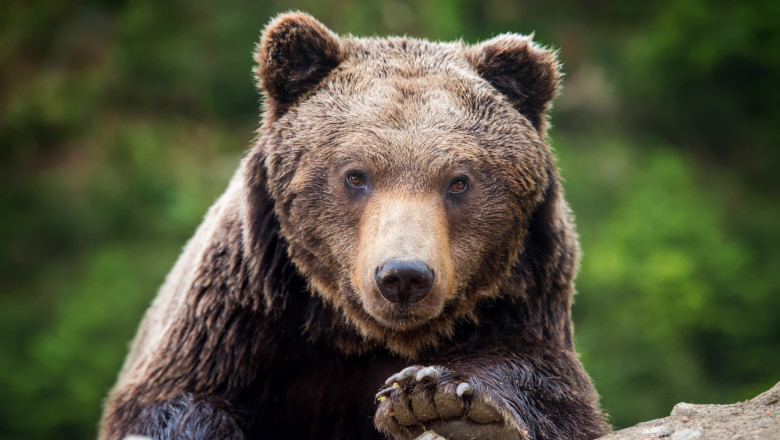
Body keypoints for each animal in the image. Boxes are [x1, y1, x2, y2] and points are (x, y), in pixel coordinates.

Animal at [99, 11, 611, 440]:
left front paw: (446, 400)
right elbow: (169, 402)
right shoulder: (239, 315)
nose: (403, 276)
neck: (353, 333)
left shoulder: (522, 298)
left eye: (459, 182)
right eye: (355, 175)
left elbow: (553, 387)